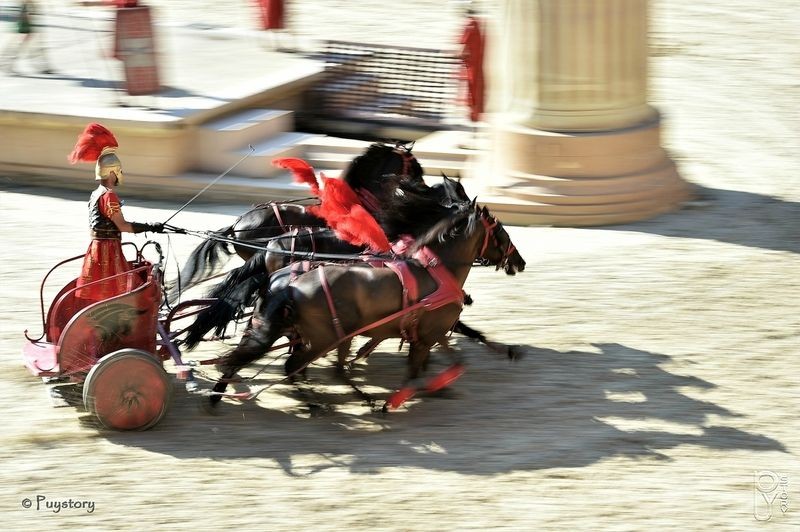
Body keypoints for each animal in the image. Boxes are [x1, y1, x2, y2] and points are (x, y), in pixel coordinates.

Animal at [205, 202, 524, 410]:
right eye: (503, 233)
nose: (519, 262)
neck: (436, 270)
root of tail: (289, 284)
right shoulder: (429, 334)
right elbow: (423, 367)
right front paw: (400, 397)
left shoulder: (429, 333)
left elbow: (449, 355)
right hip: (327, 335)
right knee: (298, 364)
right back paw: (327, 400)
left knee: (282, 360)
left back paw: (220, 392)